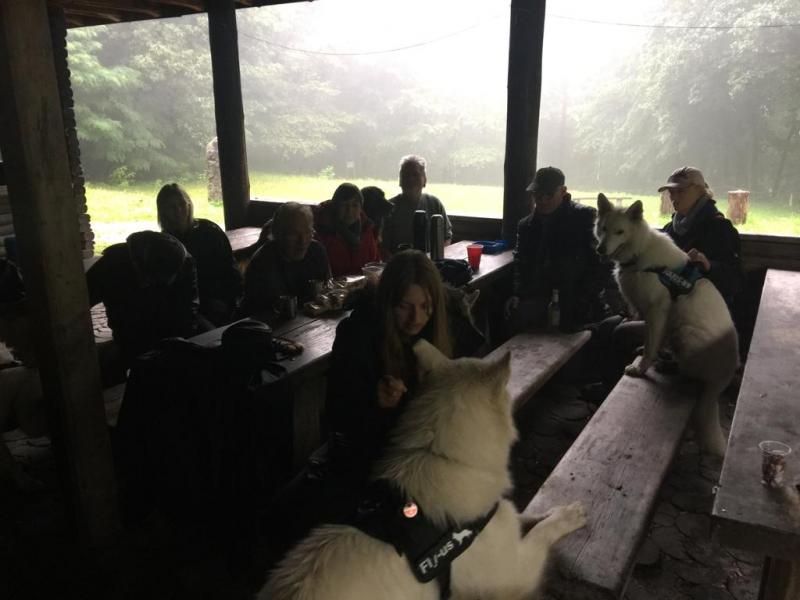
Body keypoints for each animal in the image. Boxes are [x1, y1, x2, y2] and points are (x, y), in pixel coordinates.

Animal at [260, 341, 586, 600]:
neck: (441, 457)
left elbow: (523, 516)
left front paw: (548, 512)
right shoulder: (516, 574)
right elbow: (542, 533)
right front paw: (568, 516)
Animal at [595, 194, 738, 456]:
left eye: (620, 232)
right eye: (603, 229)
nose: (600, 248)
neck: (640, 253)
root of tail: (723, 379)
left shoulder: (657, 311)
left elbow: (652, 344)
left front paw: (641, 368)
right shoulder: (651, 315)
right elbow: (653, 340)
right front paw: (645, 353)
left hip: (687, 333)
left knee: (689, 374)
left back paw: (669, 366)